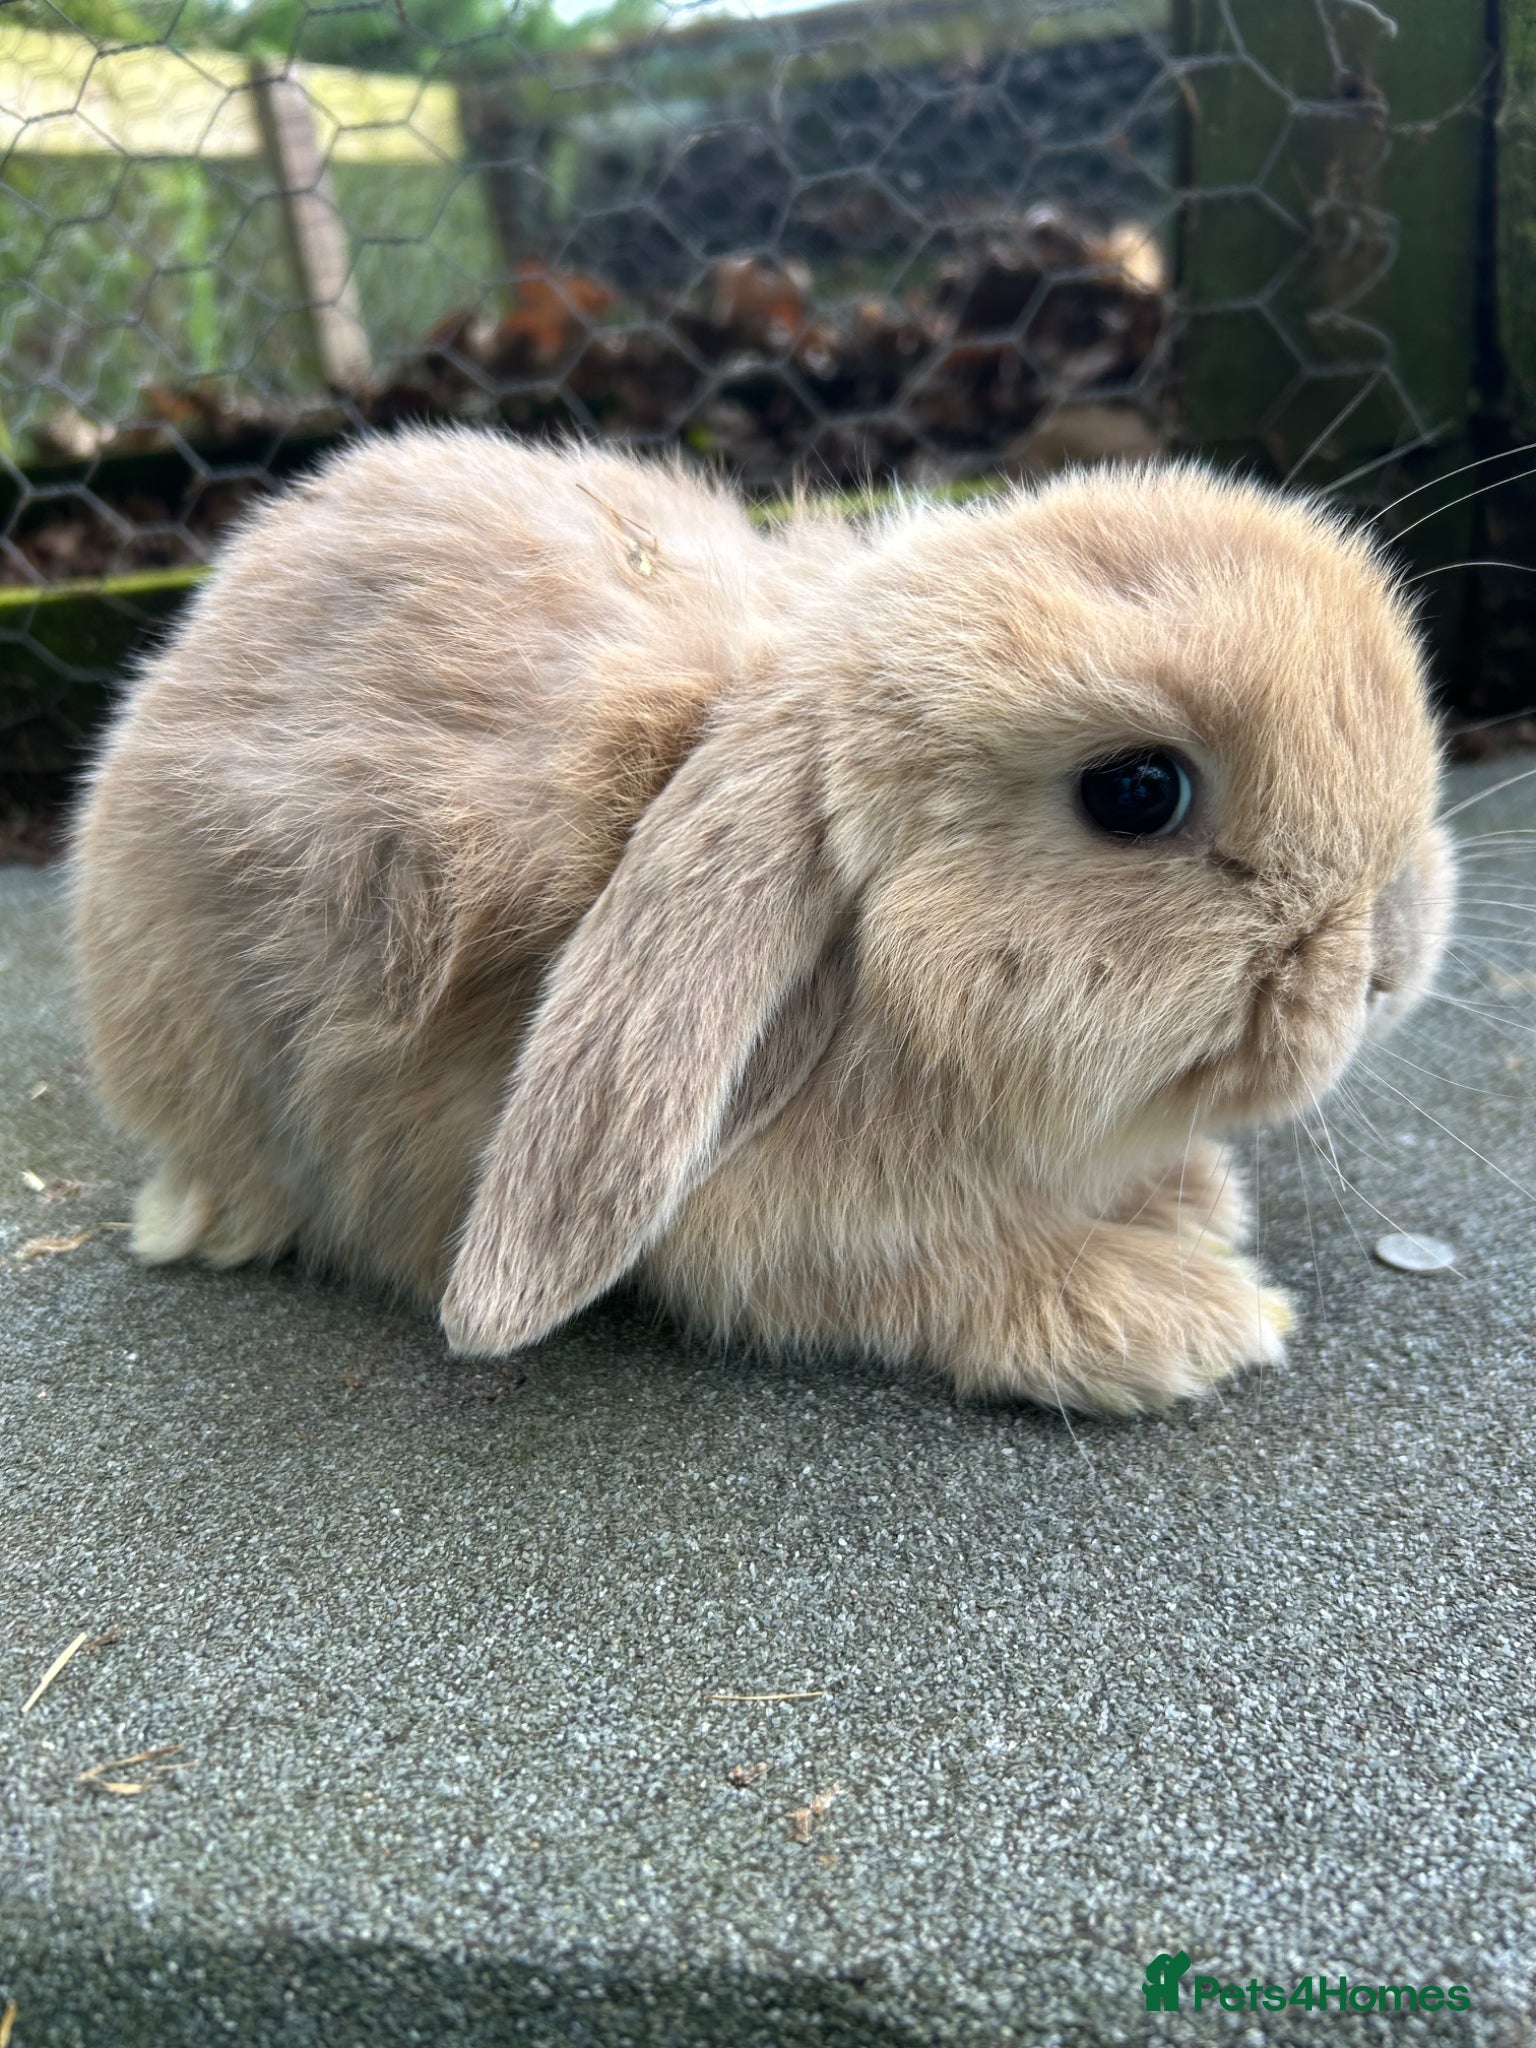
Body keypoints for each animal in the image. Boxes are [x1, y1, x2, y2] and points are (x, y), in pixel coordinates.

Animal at [71, 428, 1454, 1414]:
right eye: (1136, 791)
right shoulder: (799, 1242)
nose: (1389, 957)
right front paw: (1179, 1315)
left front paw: (1193, 1201)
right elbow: (949, 1276)